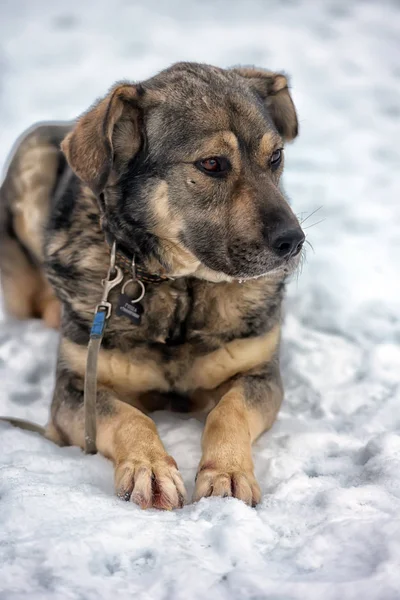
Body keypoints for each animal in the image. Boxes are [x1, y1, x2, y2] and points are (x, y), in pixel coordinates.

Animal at [0, 63, 304, 508]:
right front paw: (150, 467)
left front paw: (227, 472)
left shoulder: (259, 372)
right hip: (32, 157)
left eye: (276, 157)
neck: (180, 286)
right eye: (212, 164)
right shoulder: (77, 388)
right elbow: (131, 417)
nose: (293, 241)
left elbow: (228, 411)